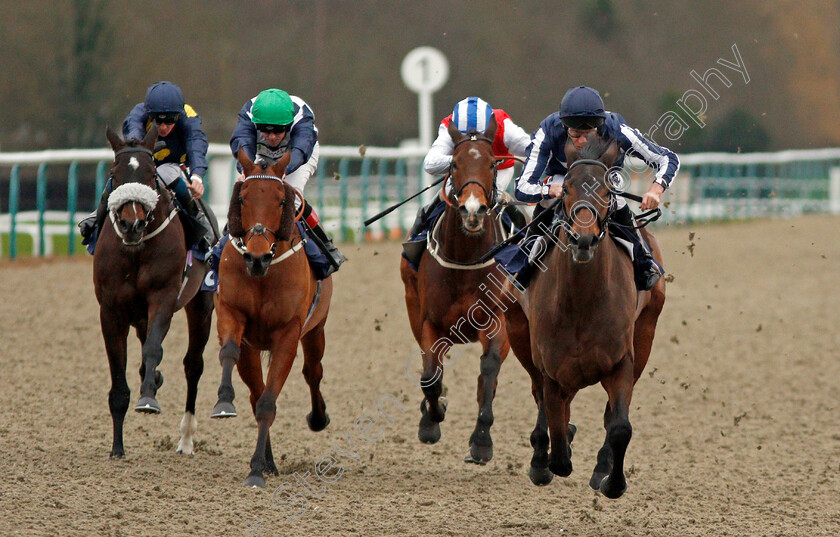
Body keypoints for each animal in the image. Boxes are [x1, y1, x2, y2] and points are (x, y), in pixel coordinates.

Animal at [95, 124, 215, 456]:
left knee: (193, 364)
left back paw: (185, 439)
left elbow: (152, 349)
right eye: (114, 173)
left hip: (201, 304)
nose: (131, 224)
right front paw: (117, 448)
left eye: (151, 174)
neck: (136, 250)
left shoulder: (163, 298)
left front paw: (148, 398)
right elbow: (118, 374)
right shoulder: (111, 311)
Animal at [210, 149, 332, 488]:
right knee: (255, 391)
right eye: (243, 198)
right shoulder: (232, 313)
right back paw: (269, 461)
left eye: (280, 201)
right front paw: (224, 401)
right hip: (253, 349)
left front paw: (255, 470)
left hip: (316, 329)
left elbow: (269, 403)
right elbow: (229, 353)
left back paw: (318, 418)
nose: (256, 257)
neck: (263, 275)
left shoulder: (288, 334)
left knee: (312, 371)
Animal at [400, 114, 512, 464]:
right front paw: (431, 418)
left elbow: (489, 369)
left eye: (492, 163)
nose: (473, 211)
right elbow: (429, 376)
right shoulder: (431, 323)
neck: (465, 257)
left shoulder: (496, 321)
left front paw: (481, 441)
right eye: (455, 164)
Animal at [502, 135, 668, 498]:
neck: (581, 302)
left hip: (646, 333)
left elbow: (618, 427)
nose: (583, 239)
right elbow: (556, 433)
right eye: (565, 190)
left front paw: (611, 480)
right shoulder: (550, 366)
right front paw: (548, 458)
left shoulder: (621, 361)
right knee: (542, 398)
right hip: (519, 333)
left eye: (607, 191)